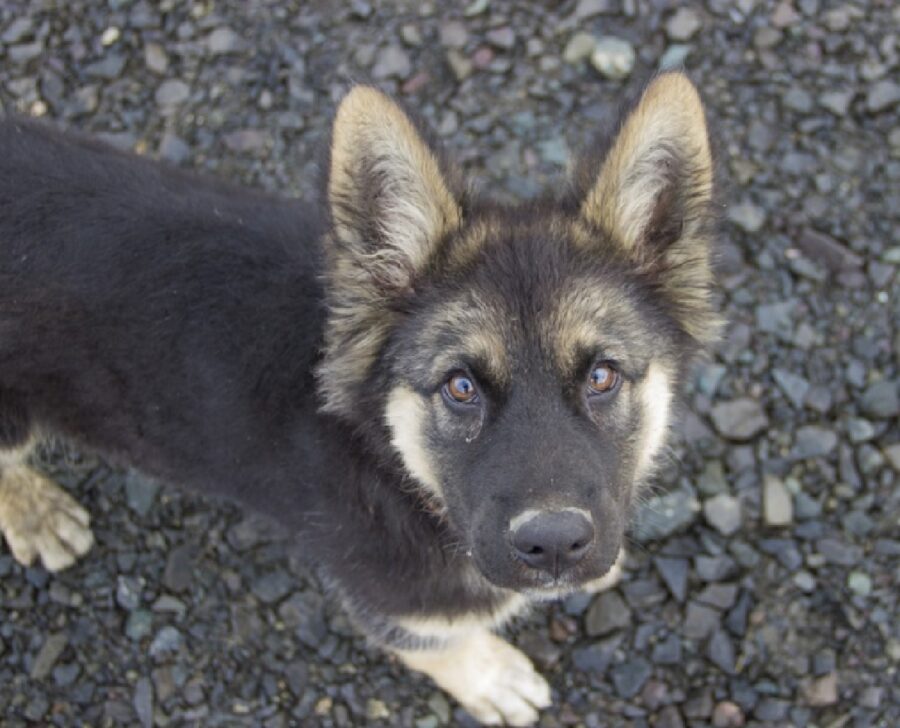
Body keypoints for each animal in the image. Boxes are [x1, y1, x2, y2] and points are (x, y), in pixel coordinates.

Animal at [0, 72, 716, 724]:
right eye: (460, 386)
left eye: (602, 376)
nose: (557, 546)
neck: (392, 464)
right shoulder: (391, 594)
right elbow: (436, 643)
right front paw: (490, 676)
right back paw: (36, 512)